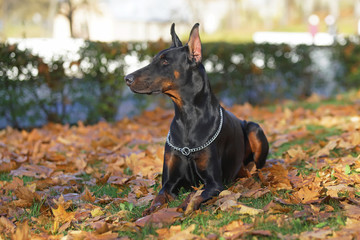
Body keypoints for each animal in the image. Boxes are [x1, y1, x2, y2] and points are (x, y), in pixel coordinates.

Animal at [125, 23, 268, 215]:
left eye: (165, 61)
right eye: (154, 59)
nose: (127, 78)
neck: (187, 117)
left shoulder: (214, 184)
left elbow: (197, 195)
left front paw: (187, 205)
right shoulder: (169, 183)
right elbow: (159, 196)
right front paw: (150, 211)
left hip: (254, 128)